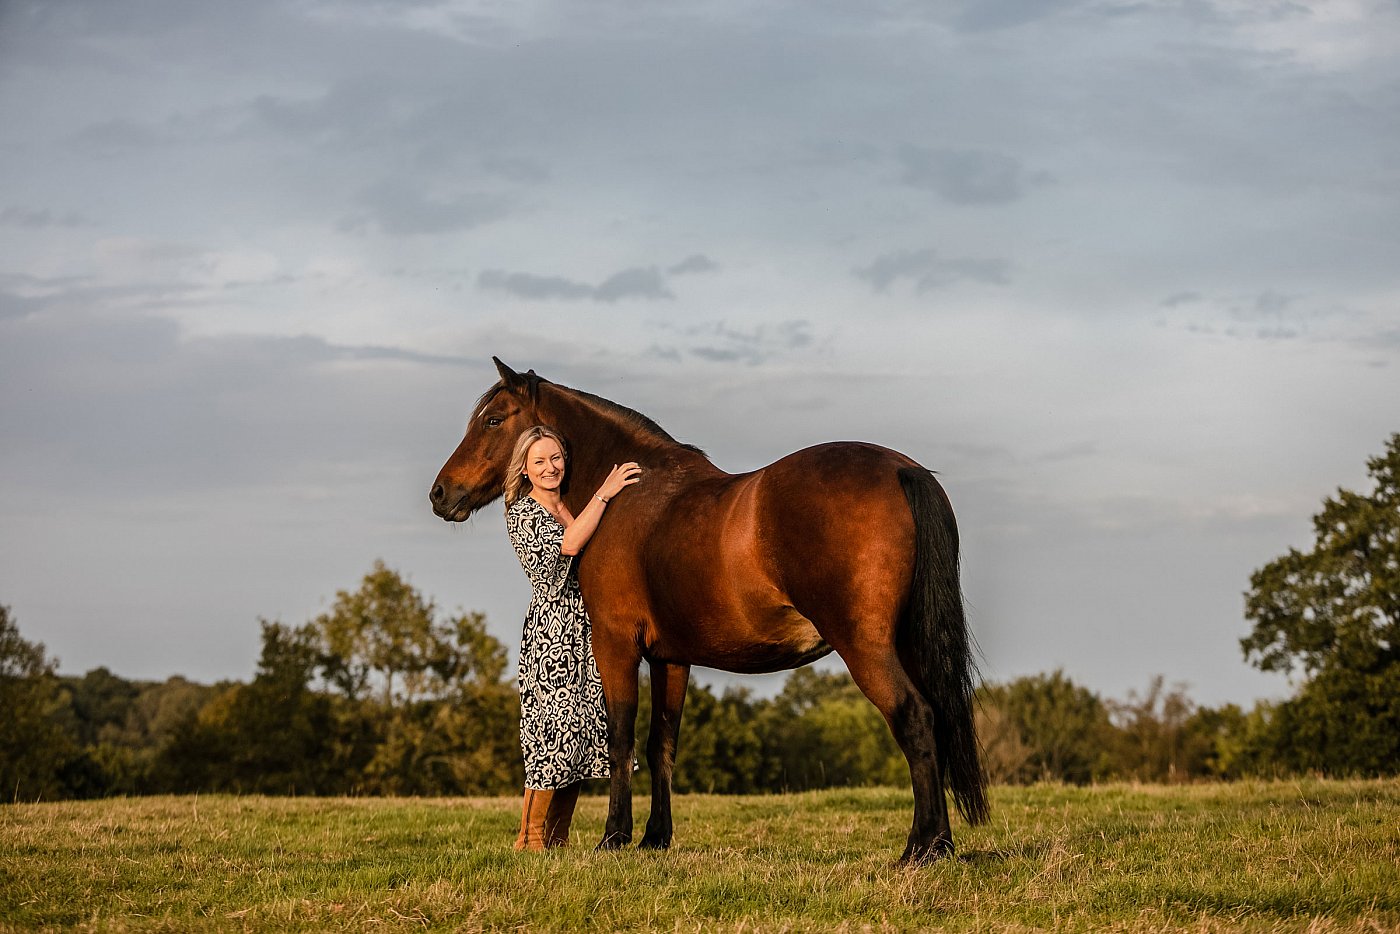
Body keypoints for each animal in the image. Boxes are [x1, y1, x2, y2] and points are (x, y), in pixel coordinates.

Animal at [430, 358, 988, 862]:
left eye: (493, 420)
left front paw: (614, 838)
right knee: (935, 718)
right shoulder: (671, 658)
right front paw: (655, 838)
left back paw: (922, 848)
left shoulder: (615, 643)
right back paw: (939, 843)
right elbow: (662, 744)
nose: (440, 493)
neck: (629, 500)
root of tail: (902, 469)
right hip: (906, 644)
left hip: (865, 647)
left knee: (915, 717)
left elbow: (621, 740)